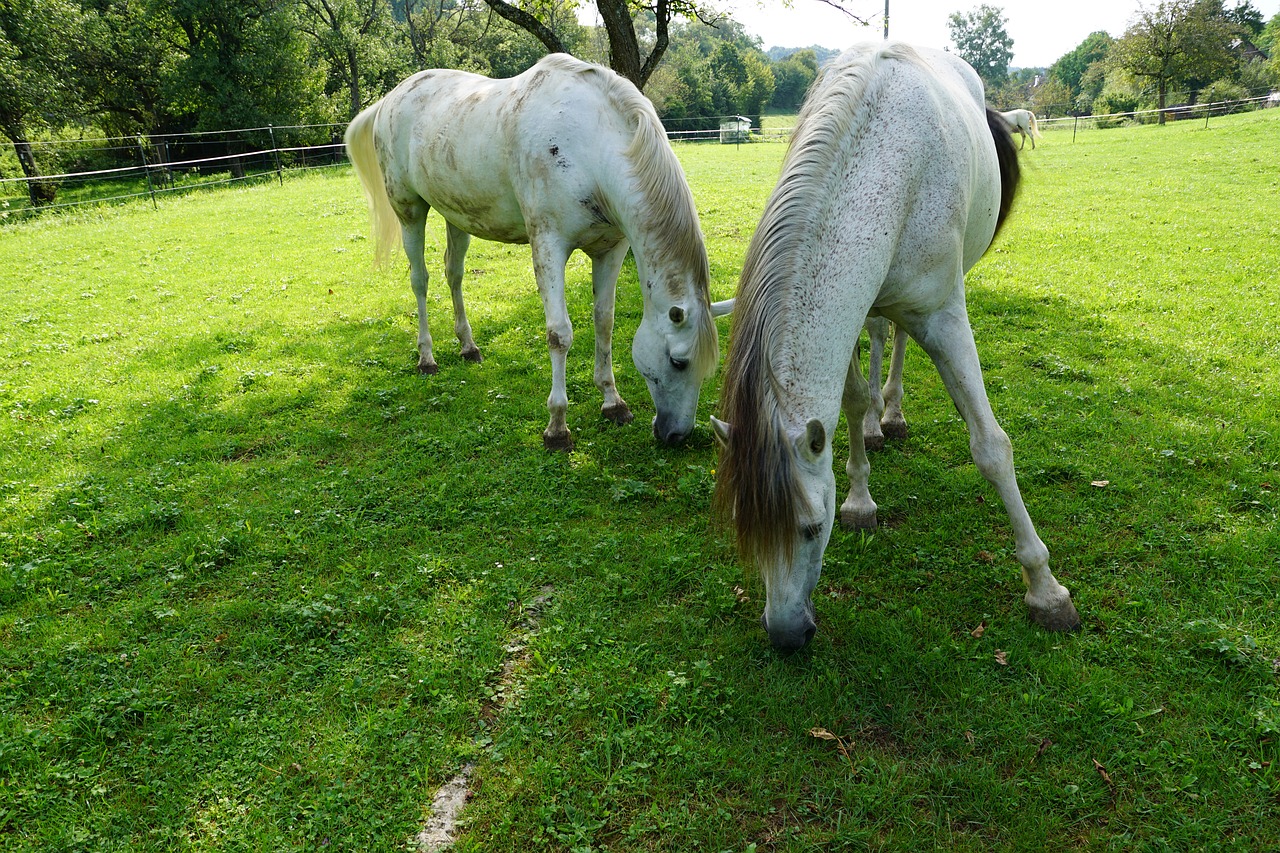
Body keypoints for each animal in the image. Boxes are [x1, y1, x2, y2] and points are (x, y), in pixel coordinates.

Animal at [345, 54, 732, 450]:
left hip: (457, 216)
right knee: (420, 281)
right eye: (678, 361)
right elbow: (559, 334)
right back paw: (426, 357)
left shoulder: (610, 250)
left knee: (453, 274)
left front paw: (613, 402)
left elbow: (604, 322)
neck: (590, 146)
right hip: (410, 211)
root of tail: (391, 98)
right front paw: (557, 427)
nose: (676, 435)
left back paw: (468, 347)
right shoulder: (548, 245)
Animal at [711, 41, 1080, 650]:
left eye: (811, 529)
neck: (887, 168)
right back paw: (877, 424)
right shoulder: (852, 304)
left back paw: (895, 413)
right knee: (883, 338)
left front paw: (1046, 590)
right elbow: (851, 399)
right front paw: (860, 497)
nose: (786, 636)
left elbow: (991, 448)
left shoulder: (945, 317)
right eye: (744, 525)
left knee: (901, 340)